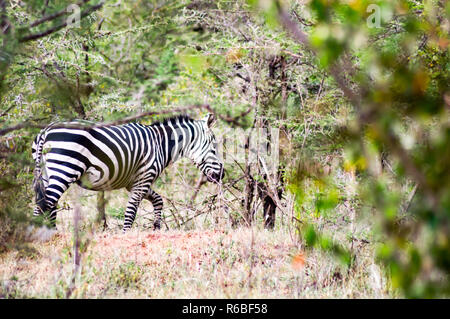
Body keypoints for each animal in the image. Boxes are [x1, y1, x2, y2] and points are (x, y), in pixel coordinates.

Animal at [30, 114, 224, 231]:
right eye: (214, 148)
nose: (221, 174)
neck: (160, 144)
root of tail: (46, 130)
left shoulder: (136, 182)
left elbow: (158, 200)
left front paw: (156, 227)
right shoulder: (144, 178)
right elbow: (131, 212)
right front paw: (126, 235)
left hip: (46, 174)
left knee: (47, 205)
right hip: (64, 169)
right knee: (45, 204)